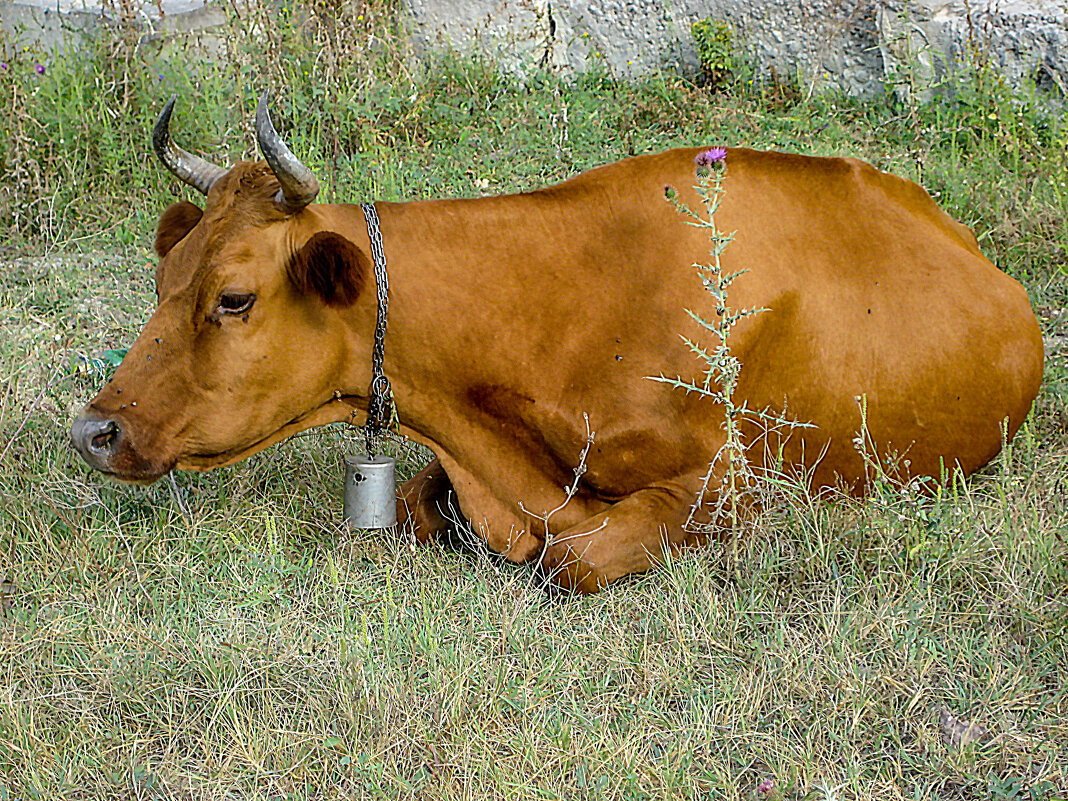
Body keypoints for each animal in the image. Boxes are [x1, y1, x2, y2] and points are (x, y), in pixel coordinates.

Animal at [71, 97, 1046, 593]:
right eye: (163, 281)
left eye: (234, 298)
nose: (93, 431)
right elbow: (422, 503)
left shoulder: (728, 486)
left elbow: (572, 556)